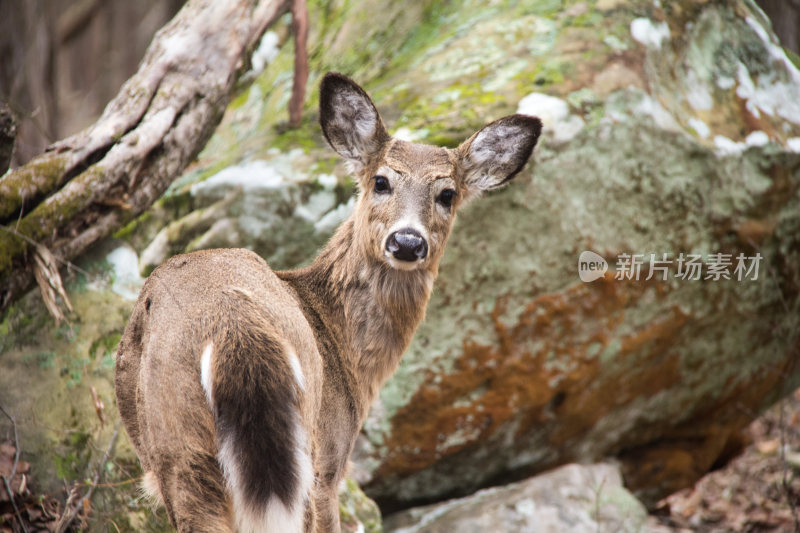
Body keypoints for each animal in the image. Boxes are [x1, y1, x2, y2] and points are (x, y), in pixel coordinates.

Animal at [115, 71, 540, 532]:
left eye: (447, 194)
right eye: (381, 181)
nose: (408, 241)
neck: (342, 347)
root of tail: (233, 328)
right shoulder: (334, 458)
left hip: (191, 455)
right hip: (242, 450)